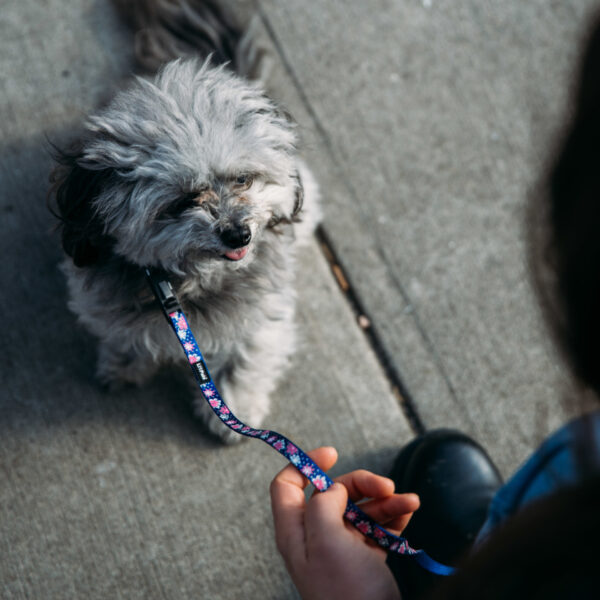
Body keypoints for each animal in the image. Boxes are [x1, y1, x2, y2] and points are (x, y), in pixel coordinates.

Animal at [51, 0, 322, 440]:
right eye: (182, 202)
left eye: (243, 179)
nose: (238, 234)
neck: (188, 281)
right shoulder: (109, 304)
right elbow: (126, 334)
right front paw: (126, 363)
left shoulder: (264, 315)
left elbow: (249, 355)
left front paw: (234, 409)